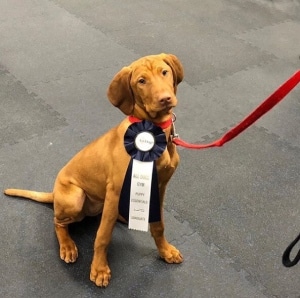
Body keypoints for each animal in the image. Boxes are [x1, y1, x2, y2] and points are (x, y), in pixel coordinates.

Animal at [3, 53, 184, 286]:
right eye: (141, 81)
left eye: (164, 72)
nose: (165, 99)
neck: (153, 131)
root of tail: (54, 194)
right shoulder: (115, 191)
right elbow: (103, 236)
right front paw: (99, 269)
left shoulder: (159, 187)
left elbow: (158, 225)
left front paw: (165, 251)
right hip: (75, 198)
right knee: (58, 222)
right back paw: (67, 246)